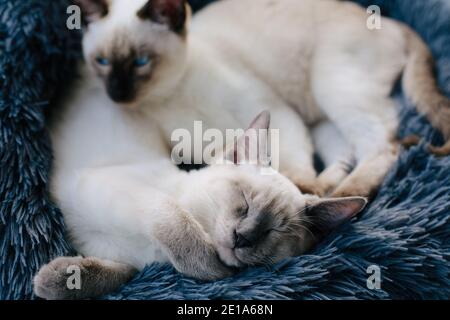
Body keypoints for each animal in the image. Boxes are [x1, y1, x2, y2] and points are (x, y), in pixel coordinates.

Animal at [33, 0, 448, 300]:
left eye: (273, 232)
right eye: (244, 203)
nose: (243, 238)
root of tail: (391, 23)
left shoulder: (140, 242)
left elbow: (156, 257)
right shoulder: (117, 199)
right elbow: (141, 247)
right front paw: (51, 281)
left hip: (333, 87)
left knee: (381, 145)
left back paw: (342, 189)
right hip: (326, 96)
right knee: (356, 148)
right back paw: (333, 186)